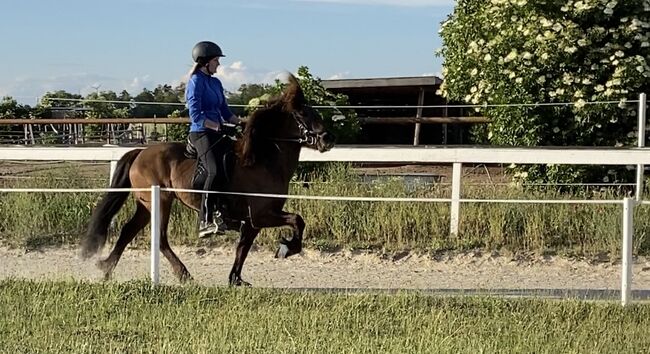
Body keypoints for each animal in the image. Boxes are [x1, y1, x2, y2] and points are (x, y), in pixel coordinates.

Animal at [79, 74, 334, 284]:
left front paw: (236, 279)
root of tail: (140, 152)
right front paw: (287, 248)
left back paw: (106, 269)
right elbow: (297, 220)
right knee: (160, 239)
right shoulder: (261, 215)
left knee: (128, 231)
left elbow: (243, 247)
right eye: (302, 114)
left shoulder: (253, 221)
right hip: (161, 201)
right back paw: (184, 274)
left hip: (146, 204)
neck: (262, 161)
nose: (327, 139)